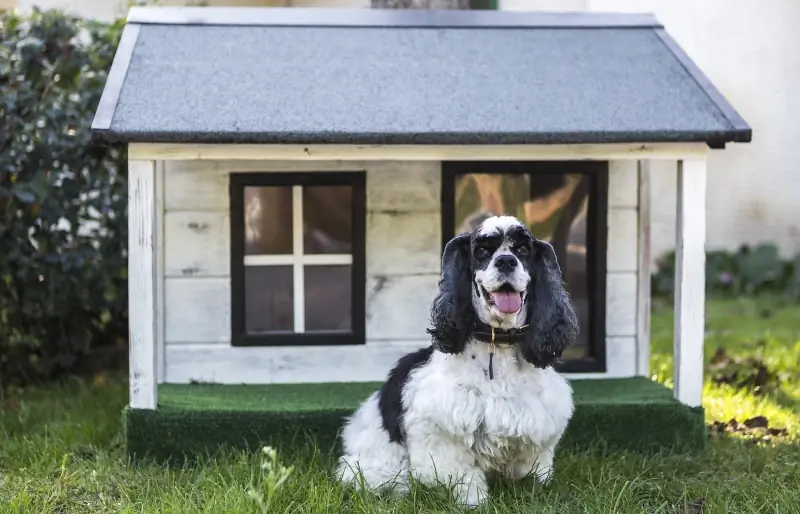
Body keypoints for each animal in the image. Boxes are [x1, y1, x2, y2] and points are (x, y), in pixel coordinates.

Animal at [334, 213, 580, 504]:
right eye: (482, 251)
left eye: (523, 250)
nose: (506, 261)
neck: (497, 343)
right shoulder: (441, 430)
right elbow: (462, 476)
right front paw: (475, 502)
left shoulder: (537, 429)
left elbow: (530, 470)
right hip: (377, 463)